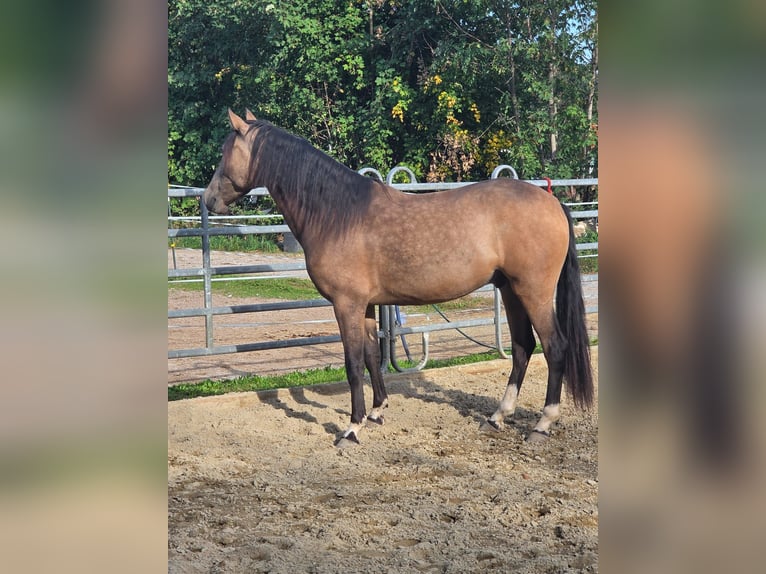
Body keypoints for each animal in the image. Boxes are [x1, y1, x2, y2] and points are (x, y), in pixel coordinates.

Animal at [203, 109, 594, 448]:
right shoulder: (364, 305)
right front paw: (377, 411)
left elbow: (352, 363)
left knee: (554, 347)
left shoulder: (346, 304)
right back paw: (497, 417)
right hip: (511, 291)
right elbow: (372, 355)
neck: (336, 214)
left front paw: (352, 428)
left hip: (534, 292)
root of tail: (552, 202)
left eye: (225, 151)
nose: (207, 200)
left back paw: (542, 424)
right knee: (522, 347)